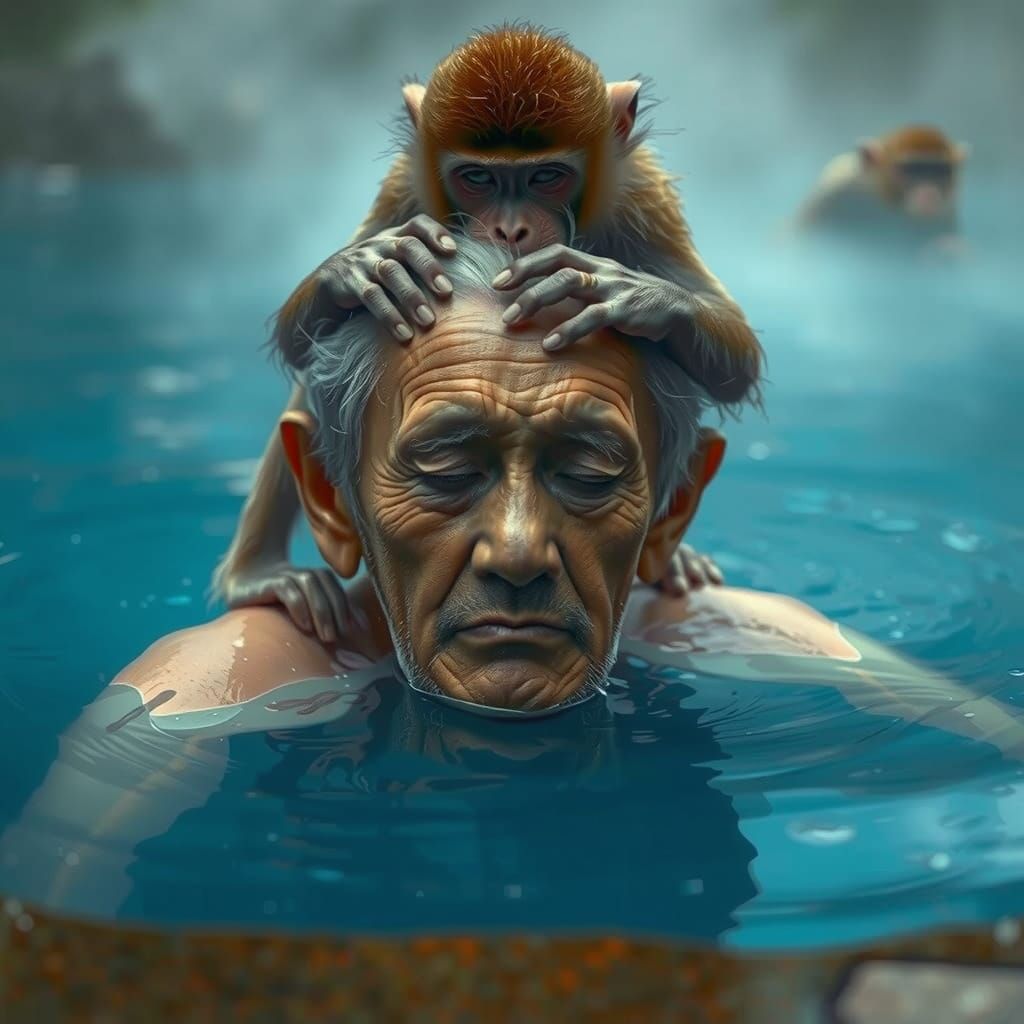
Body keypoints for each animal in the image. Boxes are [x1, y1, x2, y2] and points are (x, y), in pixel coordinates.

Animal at [213, 24, 761, 643]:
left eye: (546, 176)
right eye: (477, 177)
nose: (509, 230)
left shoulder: (642, 193)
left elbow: (737, 361)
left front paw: (632, 295)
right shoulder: (405, 188)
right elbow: (299, 336)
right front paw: (357, 268)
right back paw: (259, 574)